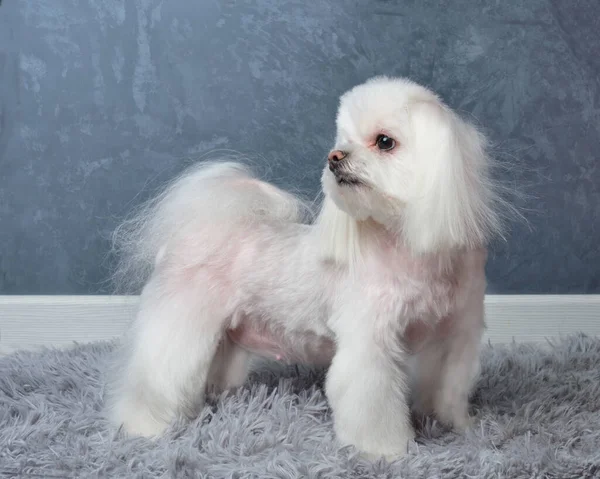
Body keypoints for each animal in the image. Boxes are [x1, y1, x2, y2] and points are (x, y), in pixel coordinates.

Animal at [105, 76, 504, 462]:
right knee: (155, 377)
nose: (334, 157)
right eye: (341, 140)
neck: (408, 248)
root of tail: (193, 233)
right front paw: (385, 451)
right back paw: (142, 426)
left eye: (384, 142)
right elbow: (372, 404)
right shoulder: (370, 346)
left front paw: (452, 424)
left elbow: (448, 385)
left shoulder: (455, 336)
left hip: (225, 333)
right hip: (180, 324)